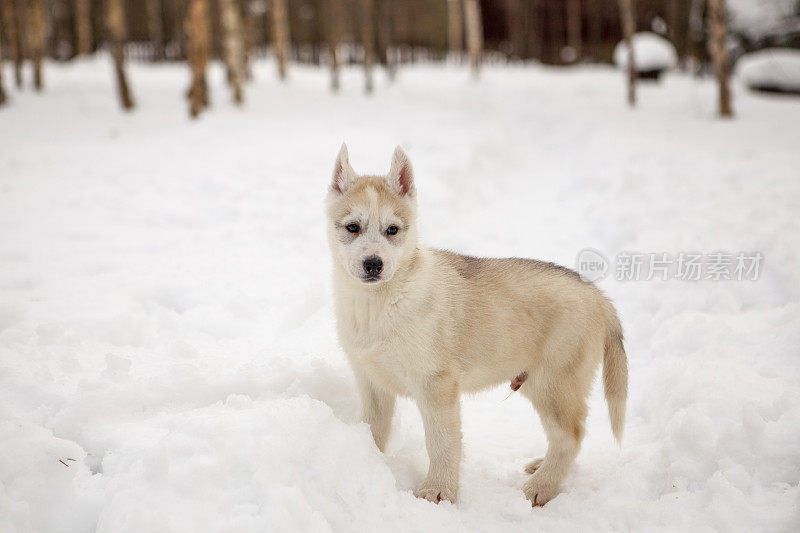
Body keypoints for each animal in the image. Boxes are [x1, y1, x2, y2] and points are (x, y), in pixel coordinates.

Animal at [328, 143, 628, 504]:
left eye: (392, 230)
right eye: (352, 227)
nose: (373, 263)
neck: (380, 303)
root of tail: (599, 297)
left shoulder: (436, 384)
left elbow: (442, 443)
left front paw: (437, 491)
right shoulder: (371, 381)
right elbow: (372, 430)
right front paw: (366, 463)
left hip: (554, 384)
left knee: (571, 435)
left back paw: (538, 488)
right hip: (540, 384)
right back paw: (540, 469)